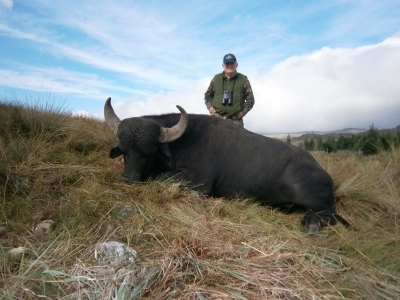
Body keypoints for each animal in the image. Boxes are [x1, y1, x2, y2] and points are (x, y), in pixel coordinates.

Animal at [104, 97, 346, 233]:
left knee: (328, 217)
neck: (180, 141)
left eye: (149, 152)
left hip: (311, 199)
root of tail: (325, 176)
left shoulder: (199, 184)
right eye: (124, 151)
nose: (130, 179)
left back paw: (311, 223)